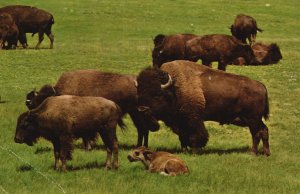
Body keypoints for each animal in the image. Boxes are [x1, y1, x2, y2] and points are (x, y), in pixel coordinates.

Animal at [26, 69, 159, 149]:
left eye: (40, 99)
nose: (31, 109)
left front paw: (88, 146)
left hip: (137, 112)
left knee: (143, 129)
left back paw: (140, 146)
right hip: (135, 113)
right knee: (142, 129)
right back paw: (140, 146)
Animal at [137, 60, 270, 156]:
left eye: (157, 94)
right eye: (140, 94)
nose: (142, 109)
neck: (174, 88)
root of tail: (262, 86)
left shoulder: (193, 119)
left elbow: (195, 135)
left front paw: (195, 151)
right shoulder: (180, 122)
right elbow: (182, 137)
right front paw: (185, 150)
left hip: (253, 119)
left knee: (256, 133)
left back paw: (253, 153)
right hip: (252, 120)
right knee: (263, 130)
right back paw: (266, 153)